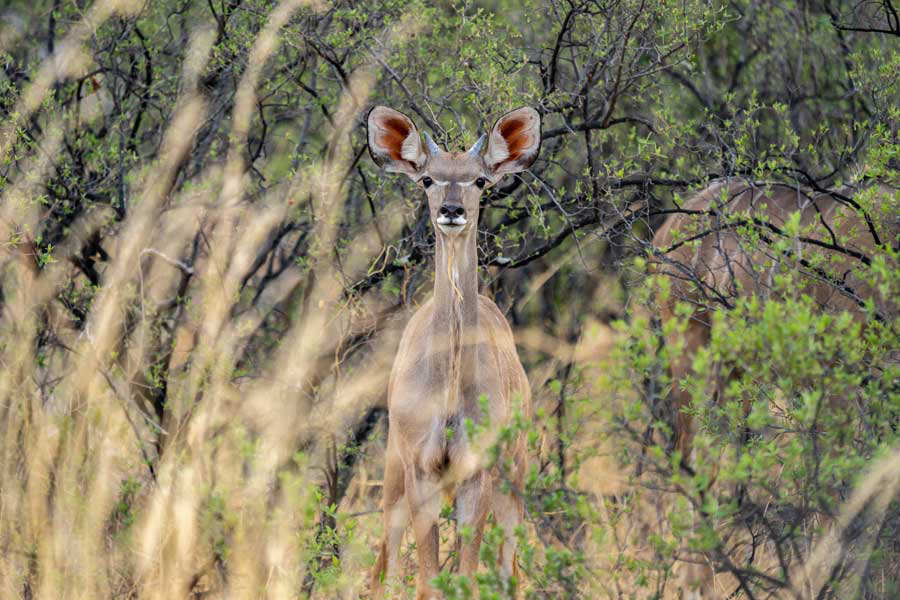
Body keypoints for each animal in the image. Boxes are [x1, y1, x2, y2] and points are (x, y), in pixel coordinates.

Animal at [366, 105, 540, 596]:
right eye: (427, 178)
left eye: (480, 180)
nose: (451, 210)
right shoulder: (420, 468)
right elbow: (428, 580)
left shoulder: (475, 470)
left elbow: (465, 576)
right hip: (392, 475)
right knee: (383, 566)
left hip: (514, 474)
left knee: (508, 568)